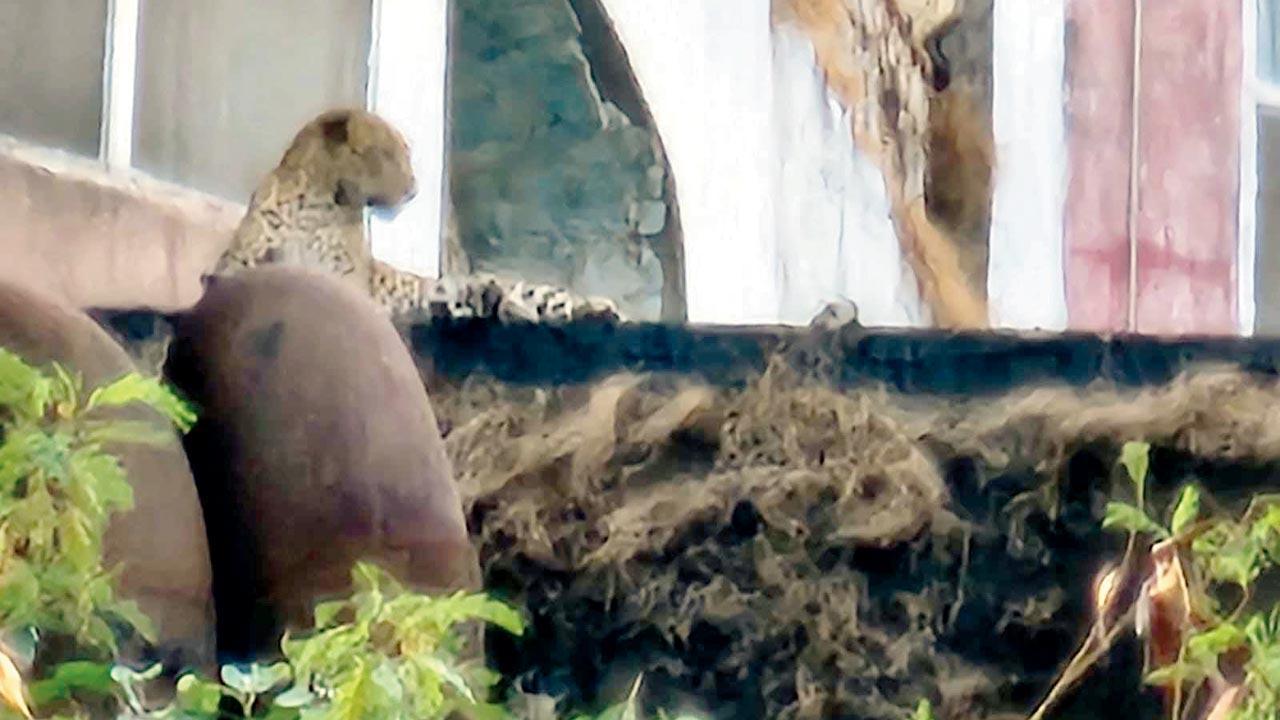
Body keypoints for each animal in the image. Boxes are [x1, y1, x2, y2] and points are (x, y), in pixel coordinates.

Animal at [211, 106, 624, 325]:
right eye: (390, 153)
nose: (414, 189)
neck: (318, 205)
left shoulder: (349, 281)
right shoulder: (240, 260)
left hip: (535, 290)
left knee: (563, 304)